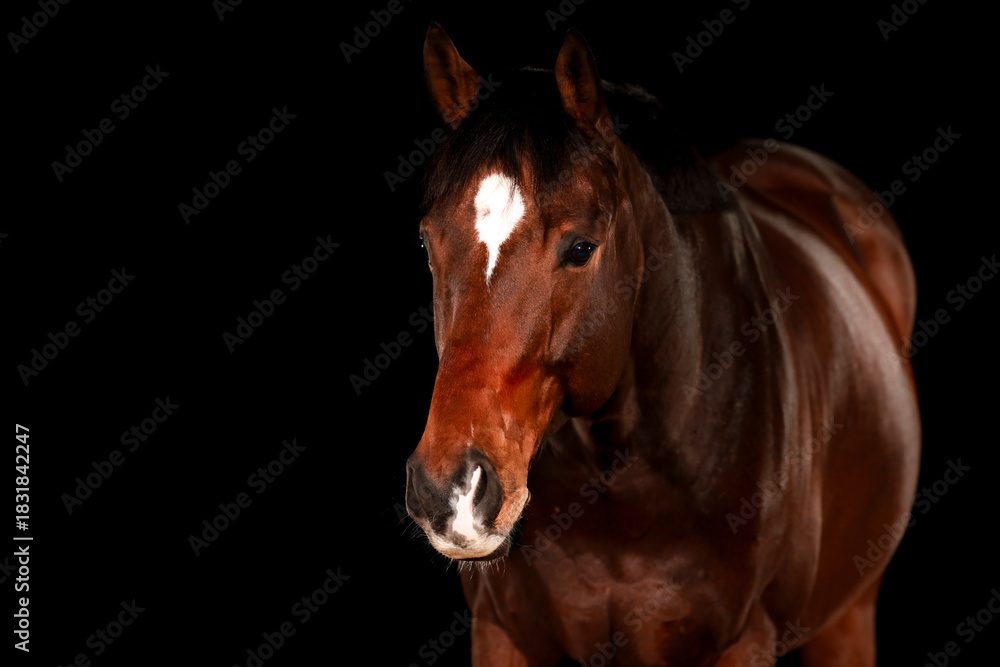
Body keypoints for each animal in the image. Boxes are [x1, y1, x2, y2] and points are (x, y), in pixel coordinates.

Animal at [403, 23, 921, 666]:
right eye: (428, 244)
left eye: (581, 247)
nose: (450, 492)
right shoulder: (502, 636)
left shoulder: (741, 643)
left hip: (848, 617)